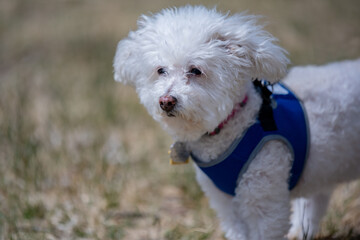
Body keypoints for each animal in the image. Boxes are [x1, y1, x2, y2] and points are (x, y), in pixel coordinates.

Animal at [113, 6, 360, 240]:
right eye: (160, 70)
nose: (166, 101)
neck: (237, 122)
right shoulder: (225, 203)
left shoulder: (263, 197)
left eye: (196, 70)